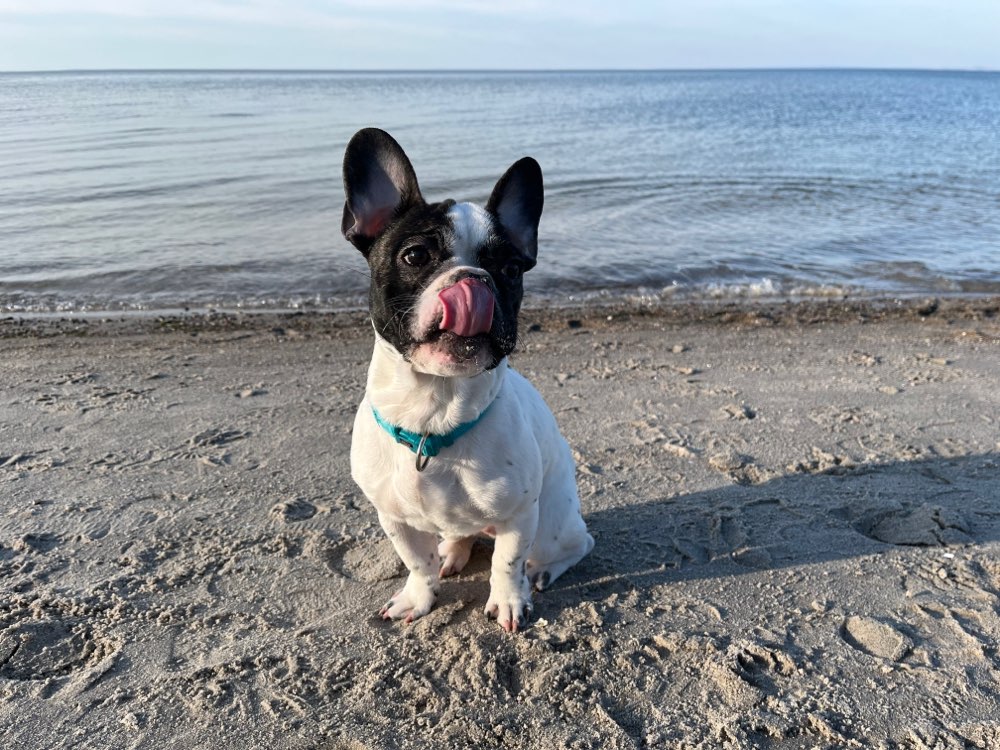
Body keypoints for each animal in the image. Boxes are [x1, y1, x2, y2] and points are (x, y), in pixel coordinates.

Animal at [344, 129, 592, 636]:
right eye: (415, 255)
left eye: (512, 270)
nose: (474, 279)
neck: (434, 408)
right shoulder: (393, 517)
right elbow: (415, 562)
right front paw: (419, 596)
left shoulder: (519, 515)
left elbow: (506, 563)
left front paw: (508, 600)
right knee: (458, 538)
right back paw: (452, 554)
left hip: (554, 522)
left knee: (572, 546)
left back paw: (544, 571)